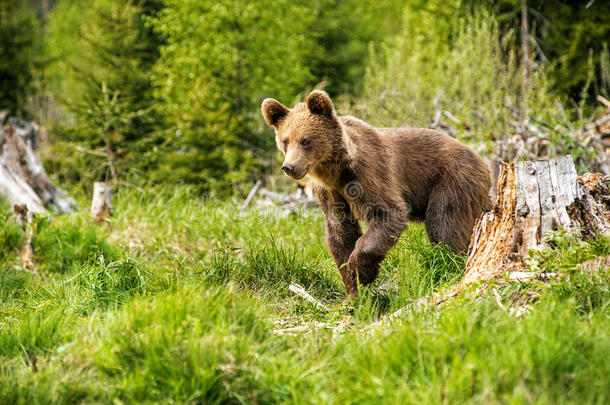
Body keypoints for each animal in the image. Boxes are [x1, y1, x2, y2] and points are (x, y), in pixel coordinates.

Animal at [260, 90, 490, 296]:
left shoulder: (369, 172)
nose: (289, 167)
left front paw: (362, 272)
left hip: (452, 181)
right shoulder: (329, 193)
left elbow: (388, 213)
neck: (337, 171)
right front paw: (353, 290)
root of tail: (483, 162)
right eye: (285, 141)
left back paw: (451, 265)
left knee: (445, 225)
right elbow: (341, 232)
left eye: (306, 140)